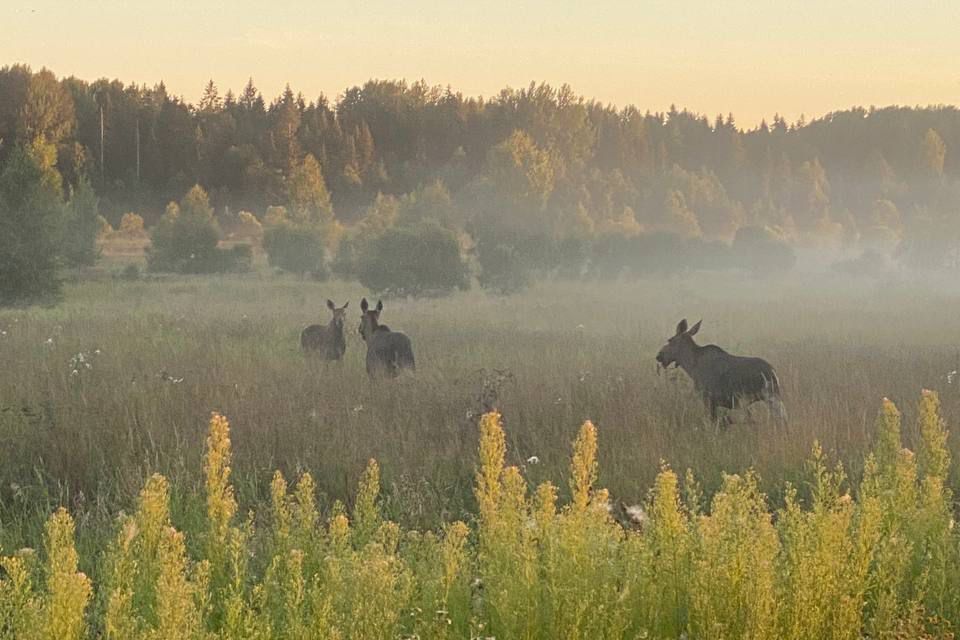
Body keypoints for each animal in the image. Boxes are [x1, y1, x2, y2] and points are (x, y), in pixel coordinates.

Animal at [656, 318, 784, 424]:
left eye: (669, 340)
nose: (659, 356)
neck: (691, 366)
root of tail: (773, 373)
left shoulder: (708, 399)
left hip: (767, 397)